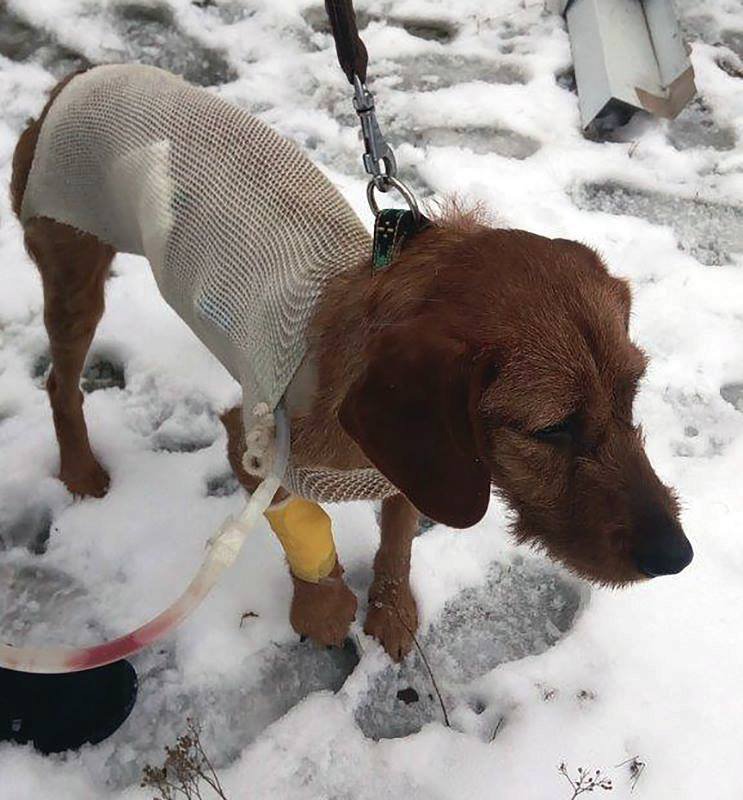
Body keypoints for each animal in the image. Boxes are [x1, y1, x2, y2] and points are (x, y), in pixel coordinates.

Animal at [10, 70, 692, 664]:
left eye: (632, 394)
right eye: (551, 428)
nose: (678, 557)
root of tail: (78, 78)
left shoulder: (414, 472)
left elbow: (397, 540)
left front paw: (391, 610)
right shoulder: (252, 444)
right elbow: (303, 518)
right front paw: (324, 605)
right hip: (72, 271)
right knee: (60, 381)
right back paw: (79, 469)